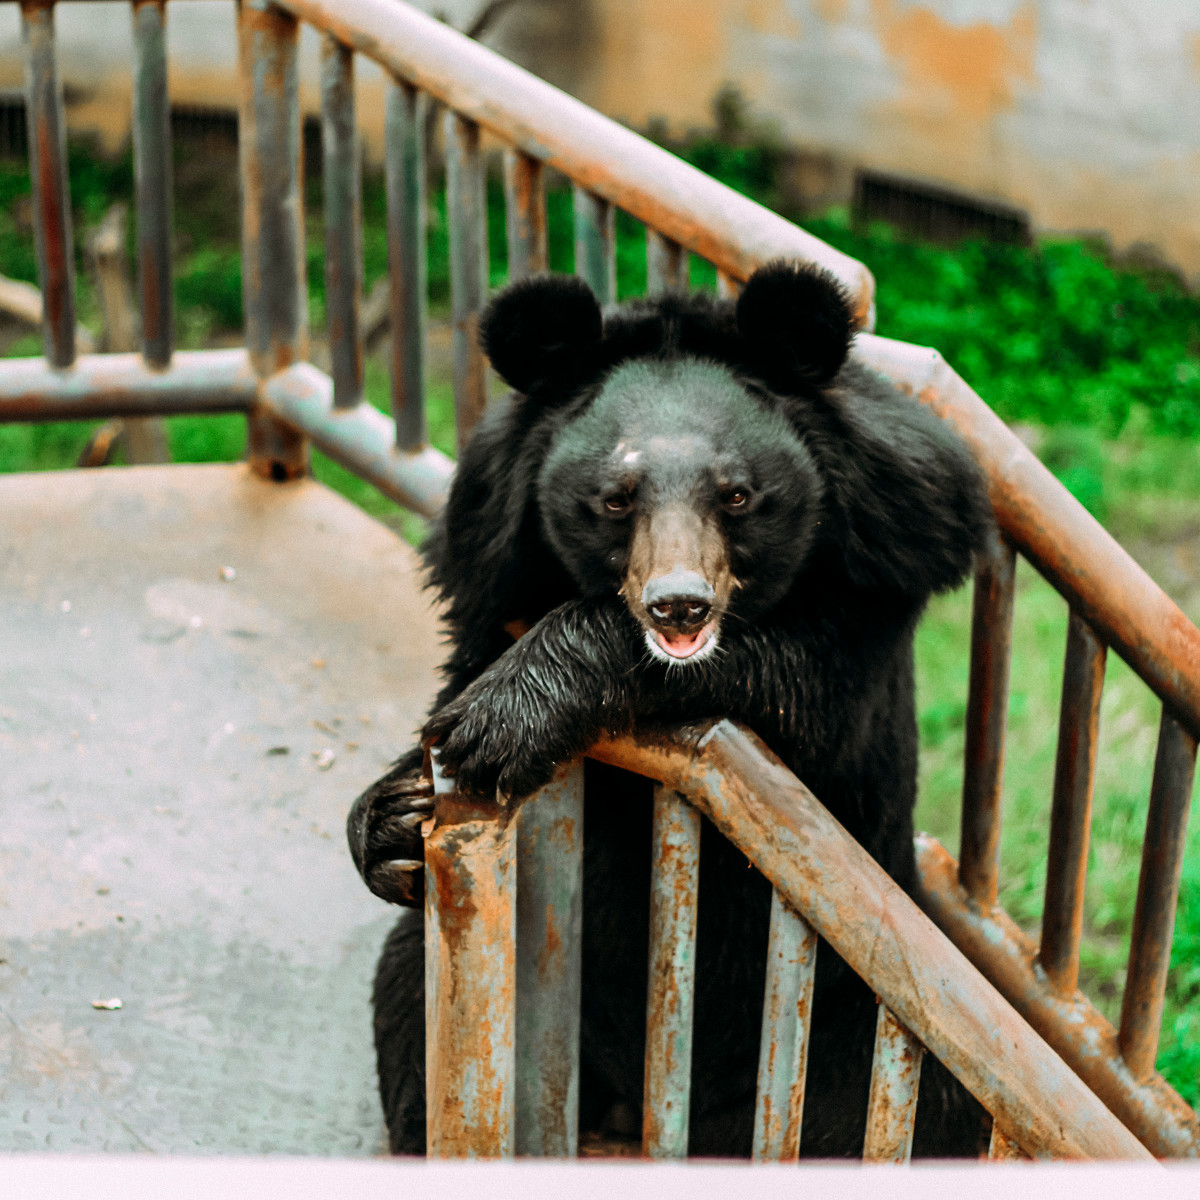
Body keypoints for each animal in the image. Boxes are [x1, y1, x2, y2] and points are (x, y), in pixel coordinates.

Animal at [350, 260, 993, 1152]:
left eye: (738, 495)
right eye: (615, 498)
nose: (678, 606)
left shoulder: (885, 570)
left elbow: (795, 694)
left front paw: (499, 723)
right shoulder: (487, 571)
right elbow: (453, 686)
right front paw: (395, 814)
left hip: (864, 1027)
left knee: (923, 1108)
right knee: (410, 1000)